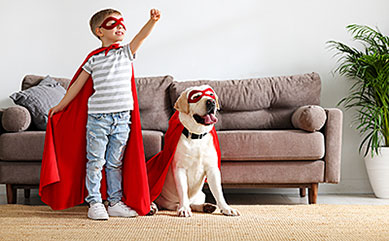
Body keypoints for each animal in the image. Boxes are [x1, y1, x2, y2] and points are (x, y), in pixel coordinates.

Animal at [154, 85, 239, 218]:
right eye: (196, 97)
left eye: (211, 94)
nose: (211, 102)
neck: (197, 136)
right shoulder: (180, 168)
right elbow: (183, 190)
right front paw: (184, 209)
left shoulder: (212, 169)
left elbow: (218, 191)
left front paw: (226, 208)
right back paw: (153, 207)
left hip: (200, 194)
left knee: (191, 203)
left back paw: (206, 206)